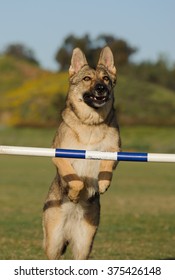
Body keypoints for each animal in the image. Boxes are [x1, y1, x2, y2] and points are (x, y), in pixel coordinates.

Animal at [43, 46, 121, 260]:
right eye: (87, 79)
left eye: (106, 78)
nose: (101, 88)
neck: (90, 123)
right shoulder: (59, 156)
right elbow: (76, 179)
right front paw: (74, 194)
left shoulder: (115, 151)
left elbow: (106, 165)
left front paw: (103, 183)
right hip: (53, 243)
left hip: (84, 245)